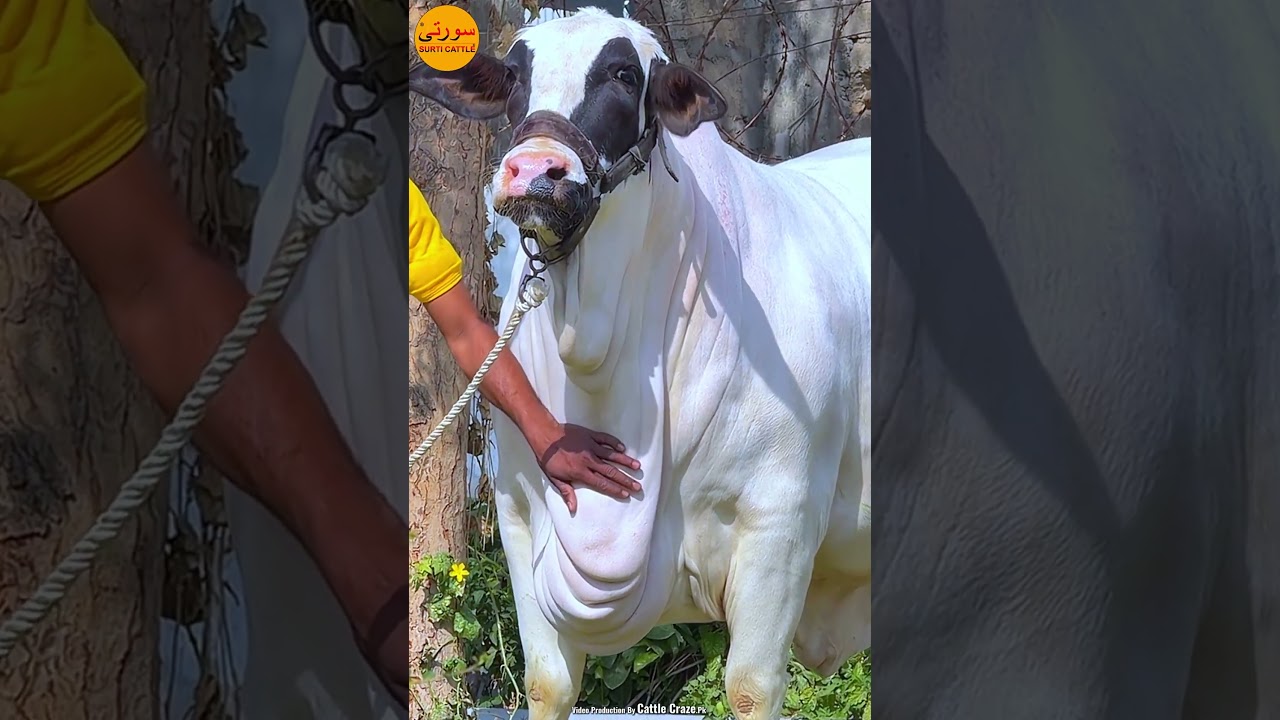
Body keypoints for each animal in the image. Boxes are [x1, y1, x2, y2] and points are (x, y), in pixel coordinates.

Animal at [410, 8, 870, 720]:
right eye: (514, 76)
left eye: (625, 74)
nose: (532, 169)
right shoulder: (516, 515)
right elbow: (547, 684)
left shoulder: (780, 522)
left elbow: (749, 689)